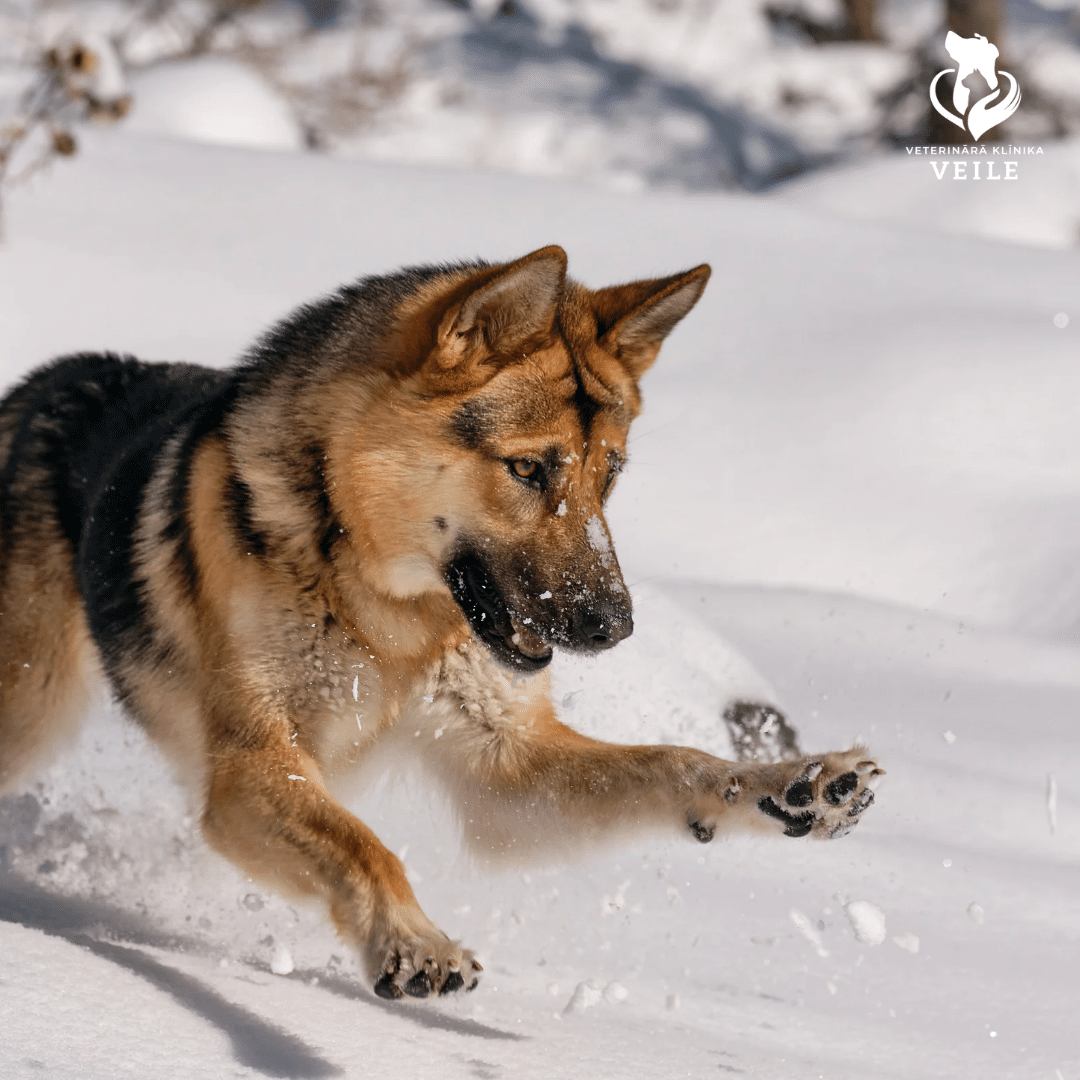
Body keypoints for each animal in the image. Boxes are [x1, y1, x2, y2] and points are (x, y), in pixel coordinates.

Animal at [0, 248, 876, 997]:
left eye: (610, 475)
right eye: (528, 468)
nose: (615, 626)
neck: (382, 610)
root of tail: (39, 382)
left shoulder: (504, 770)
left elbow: (674, 762)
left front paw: (794, 784)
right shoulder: (250, 768)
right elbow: (366, 847)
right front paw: (413, 941)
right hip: (33, 715)